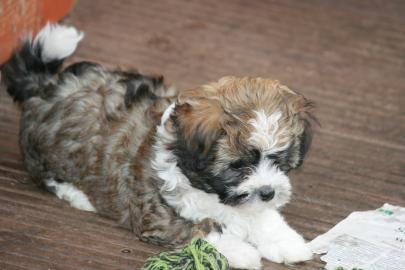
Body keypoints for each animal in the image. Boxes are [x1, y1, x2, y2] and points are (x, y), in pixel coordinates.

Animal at [1, 23, 314, 270]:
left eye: (280, 161)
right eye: (238, 166)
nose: (268, 192)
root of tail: (46, 86)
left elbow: (260, 216)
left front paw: (285, 240)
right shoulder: (157, 214)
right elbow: (198, 230)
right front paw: (240, 251)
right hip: (43, 157)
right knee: (47, 179)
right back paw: (78, 196)